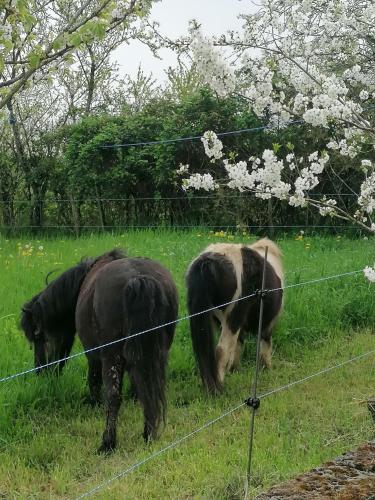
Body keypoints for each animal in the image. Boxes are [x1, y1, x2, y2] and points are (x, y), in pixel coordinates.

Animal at [20, 250, 179, 454]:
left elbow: (94, 381)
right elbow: (139, 384)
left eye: (38, 336)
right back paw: (148, 434)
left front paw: (95, 404)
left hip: (111, 357)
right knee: (151, 386)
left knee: (114, 396)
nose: (40, 370)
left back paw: (108, 443)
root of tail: (137, 278)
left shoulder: (93, 355)